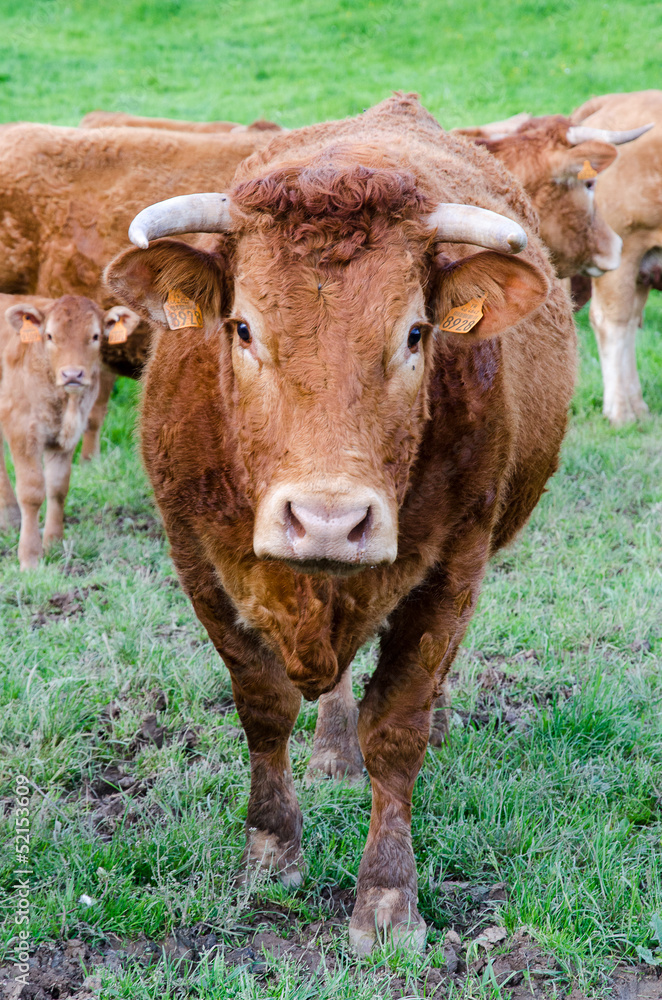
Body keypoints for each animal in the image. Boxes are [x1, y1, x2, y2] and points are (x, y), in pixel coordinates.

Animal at [0, 294, 139, 569]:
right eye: (50, 335)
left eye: (95, 336)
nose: (72, 374)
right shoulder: (22, 431)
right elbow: (32, 492)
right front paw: (30, 557)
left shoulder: (66, 438)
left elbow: (58, 487)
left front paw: (54, 543)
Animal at [105, 93, 576, 955]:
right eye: (242, 328)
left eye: (416, 333)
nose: (328, 521)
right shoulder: (196, 558)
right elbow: (262, 706)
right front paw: (270, 851)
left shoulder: (454, 566)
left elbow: (398, 728)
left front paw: (388, 897)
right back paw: (333, 746)